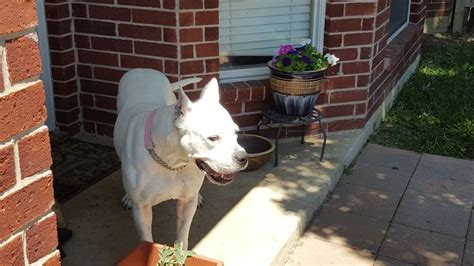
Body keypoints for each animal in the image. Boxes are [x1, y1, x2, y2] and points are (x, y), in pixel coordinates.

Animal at [114, 69, 248, 249]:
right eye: (213, 138)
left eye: (236, 133)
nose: (243, 157)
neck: (172, 161)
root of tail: (143, 70)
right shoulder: (142, 209)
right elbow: (147, 240)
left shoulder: (187, 203)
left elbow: (183, 235)